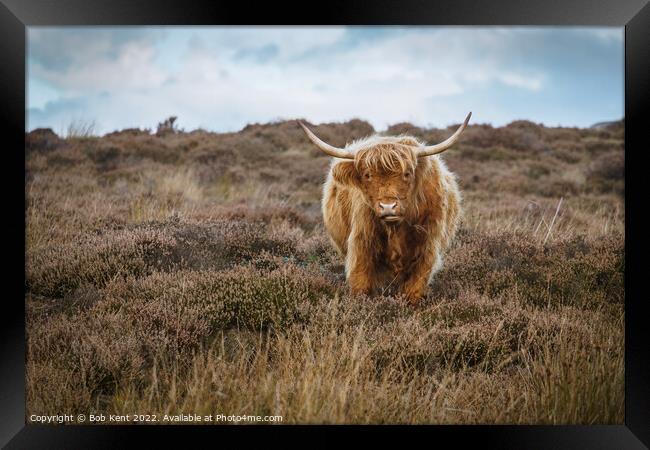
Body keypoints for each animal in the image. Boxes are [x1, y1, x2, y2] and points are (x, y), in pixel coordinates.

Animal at [298, 112, 470, 306]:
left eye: (407, 173)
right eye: (367, 175)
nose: (388, 207)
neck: (395, 230)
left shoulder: (427, 247)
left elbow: (415, 287)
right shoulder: (361, 244)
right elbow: (361, 283)